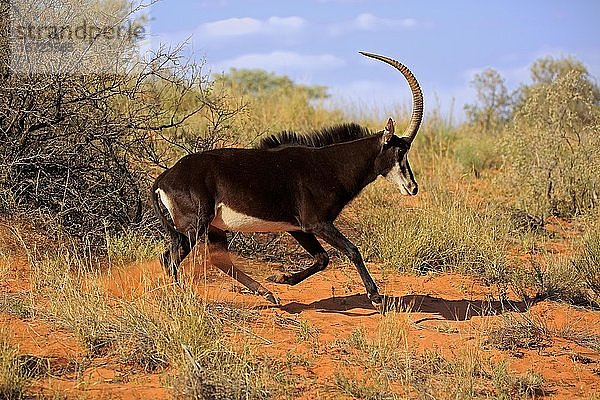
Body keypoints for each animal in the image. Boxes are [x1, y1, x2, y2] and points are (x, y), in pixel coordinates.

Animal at [149, 52, 422, 306]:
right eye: (399, 152)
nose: (412, 187)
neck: (330, 165)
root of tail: (165, 177)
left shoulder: (297, 227)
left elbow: (322, 259)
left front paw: (281, 278)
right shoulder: (317, 223)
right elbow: (352, 250)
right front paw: (375, 296)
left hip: (214, 227)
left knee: (217, 259)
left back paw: (267, 293)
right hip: (195, 226)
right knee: (170, 258)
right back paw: (183, 296)